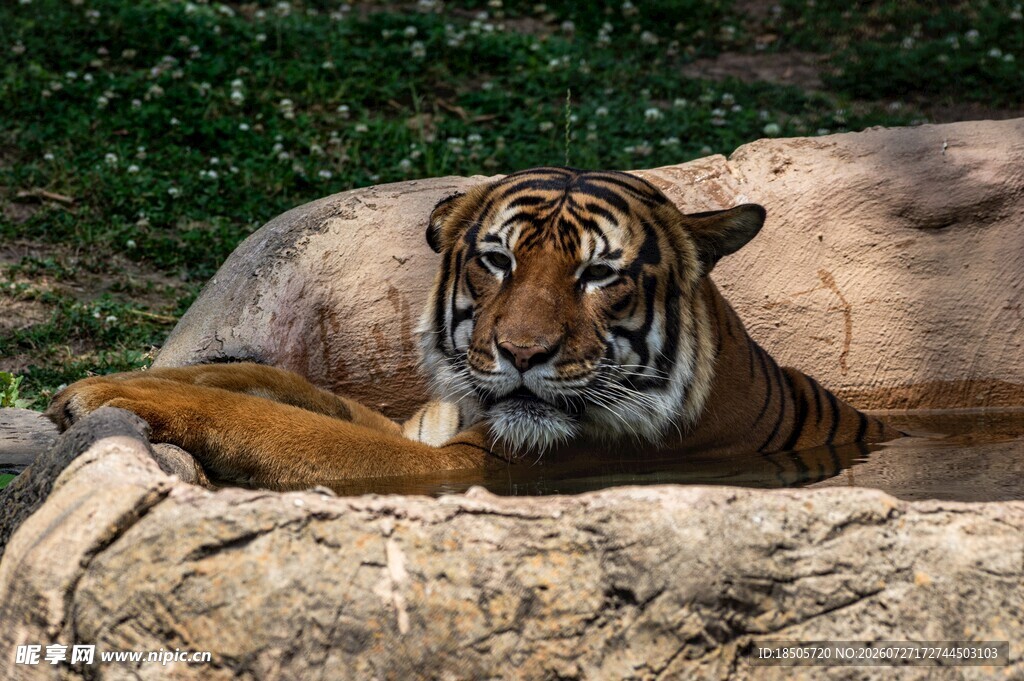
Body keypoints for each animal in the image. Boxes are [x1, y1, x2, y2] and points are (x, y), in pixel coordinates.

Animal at [47, 167, 899, 485]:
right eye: (498, 259)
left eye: (599, 274)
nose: (521, 353)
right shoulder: (423, 425)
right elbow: (270, 380)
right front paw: (118, 377)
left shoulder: (456, 464)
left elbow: (270, 419)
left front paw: (112, 394)